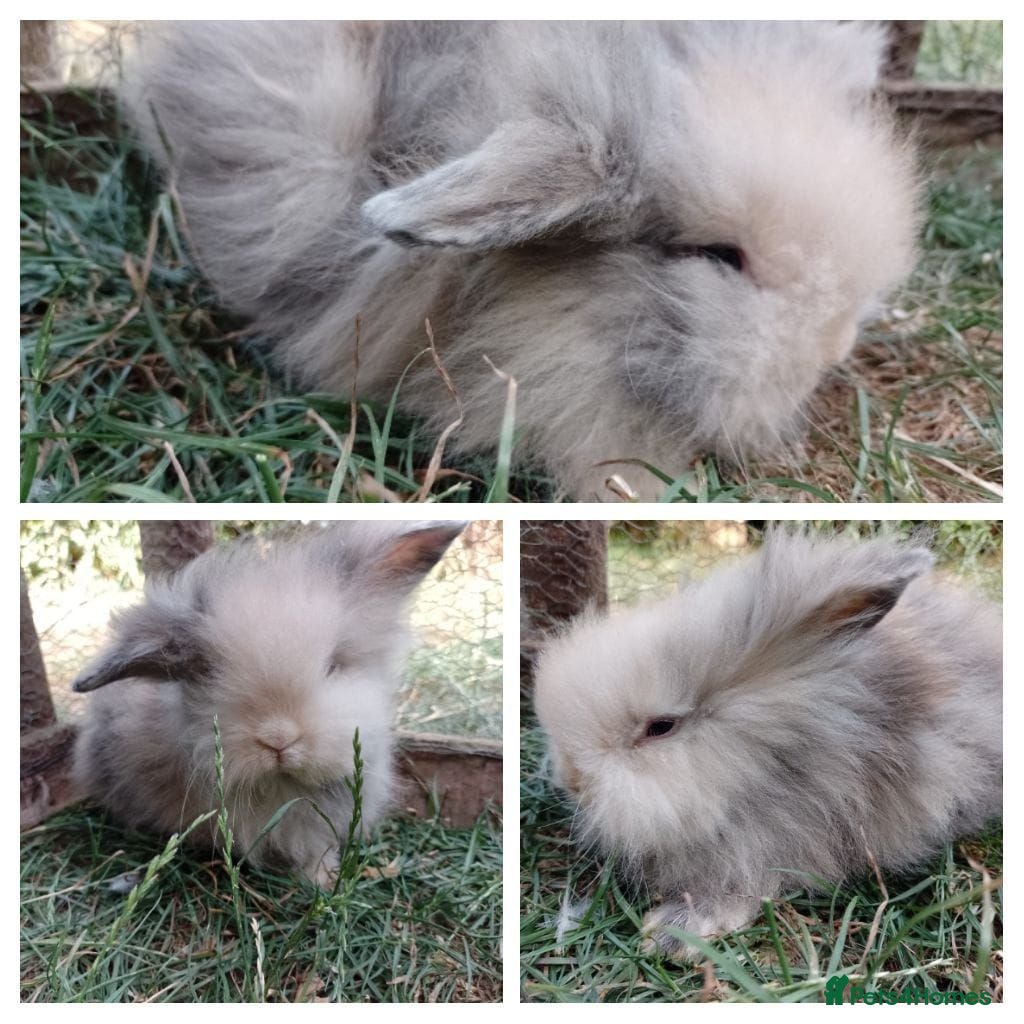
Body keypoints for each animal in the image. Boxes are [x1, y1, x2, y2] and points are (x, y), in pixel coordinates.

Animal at [71, 520, 465, 886]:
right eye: (210, 673)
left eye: (333, 665)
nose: (278, 739)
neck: (281, 785)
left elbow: (317, 851)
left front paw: (321, 881)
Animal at [532, 528, 1002, 958]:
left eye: (661, 727)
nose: (571, 780)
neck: (774, 756)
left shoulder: (787, 835)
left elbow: (745, 882)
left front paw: (673, 934)